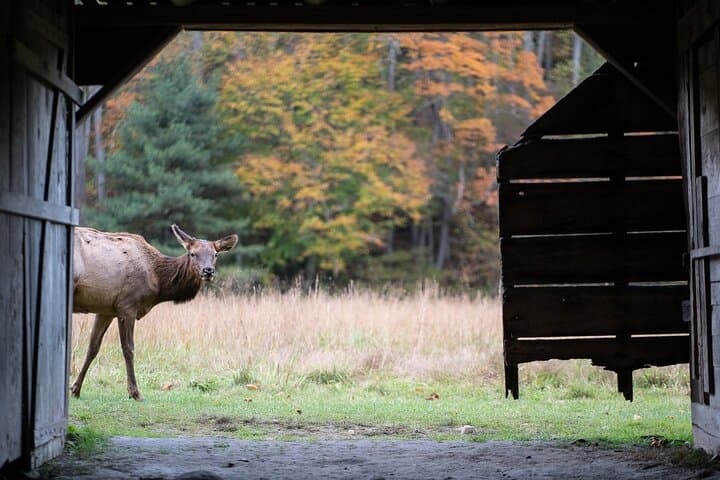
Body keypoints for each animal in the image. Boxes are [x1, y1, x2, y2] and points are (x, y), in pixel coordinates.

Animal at [70, 224, 238, 401]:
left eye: (215, 254)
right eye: (193, 254)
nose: (208, 271)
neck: (157, 281)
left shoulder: (106, 309)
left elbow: (92, 347)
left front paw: (75, 389)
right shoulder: (127, 305)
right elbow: (128, 349)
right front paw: (135, 392)